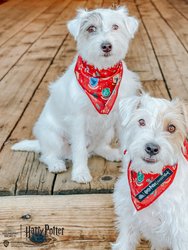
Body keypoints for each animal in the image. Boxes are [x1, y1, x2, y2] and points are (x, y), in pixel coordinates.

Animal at [11, 6, 140, 183]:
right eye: (91, 28)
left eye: (115, 27)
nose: (106, 46)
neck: (101, 73)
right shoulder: (77, 120)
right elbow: (79, 149)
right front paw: (80, 173)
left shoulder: (122, 117)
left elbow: (126, 144)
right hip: (51, 135)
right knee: (47, 155)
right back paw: (56, 164)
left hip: (107, 132)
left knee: (97, 147)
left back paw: (111, 153)